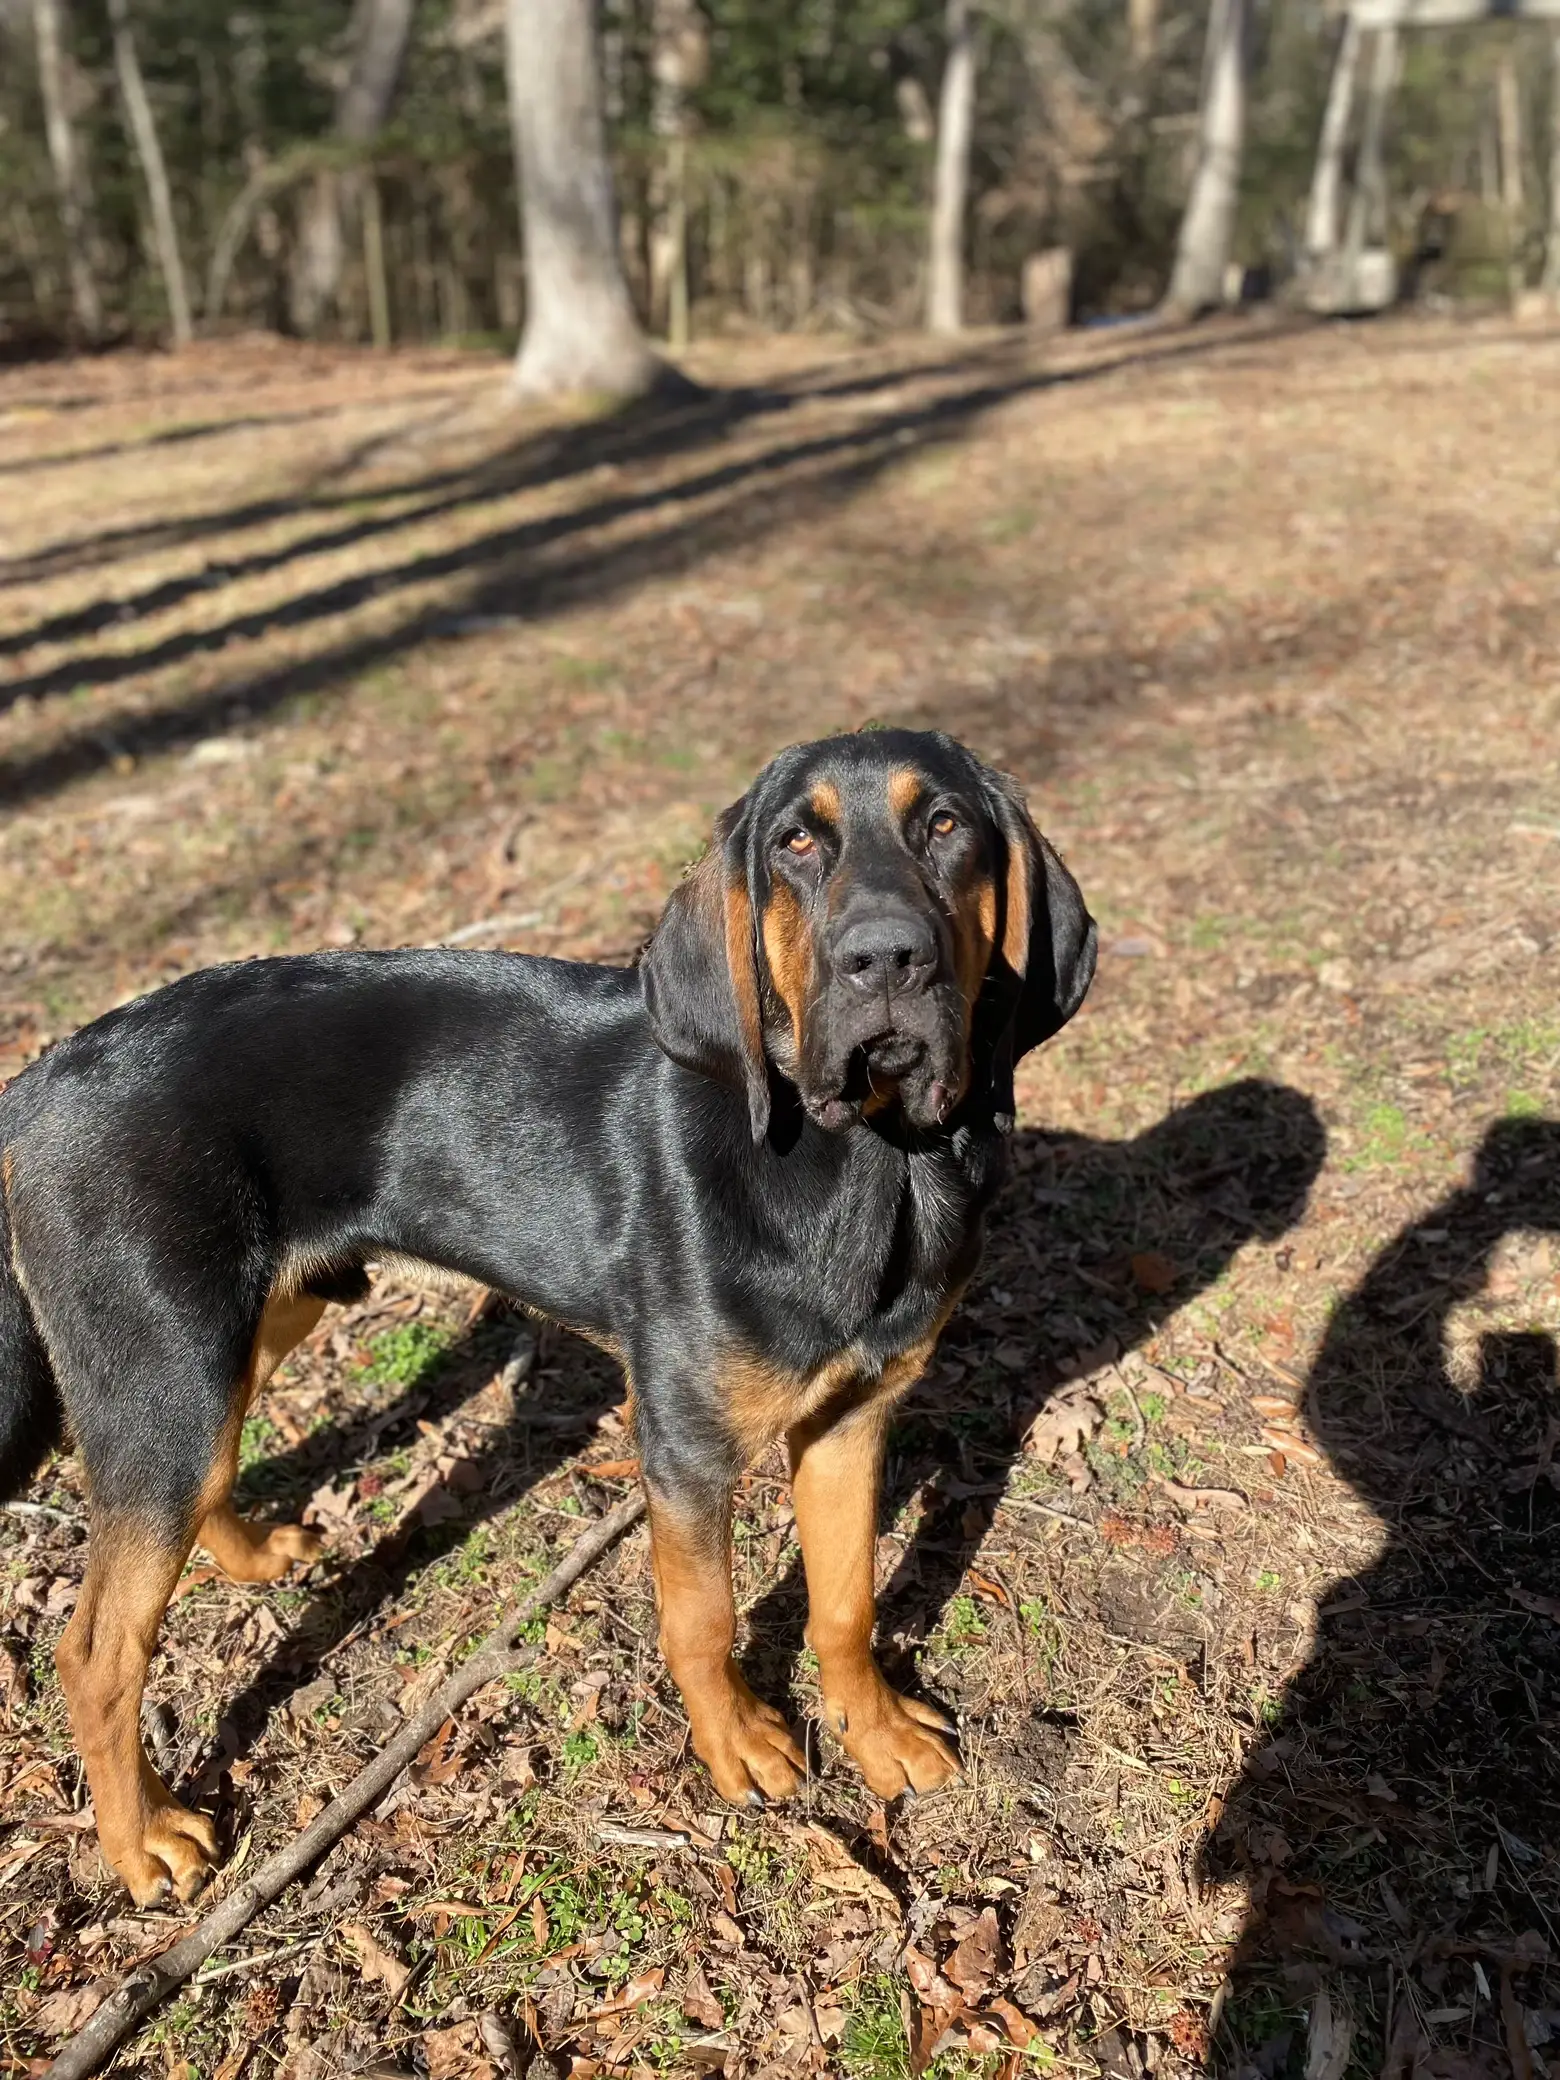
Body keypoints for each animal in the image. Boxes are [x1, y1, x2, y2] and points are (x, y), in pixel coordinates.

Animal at [0, 728, 1098, 1905]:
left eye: (945, 825)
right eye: (795, 845)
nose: (885, 960)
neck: (872, 1165)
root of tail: (35, 1082)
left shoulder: (855, 1416)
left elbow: (845, 1599)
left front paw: (876, 1727)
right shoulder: (686, 1445)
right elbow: (704, 1616)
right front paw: (736, 1744)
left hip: (246, 1327)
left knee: (201, 1484)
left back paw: (251, 1559)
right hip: (168, 1363)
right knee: (97, 1648)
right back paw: (143, 1840)